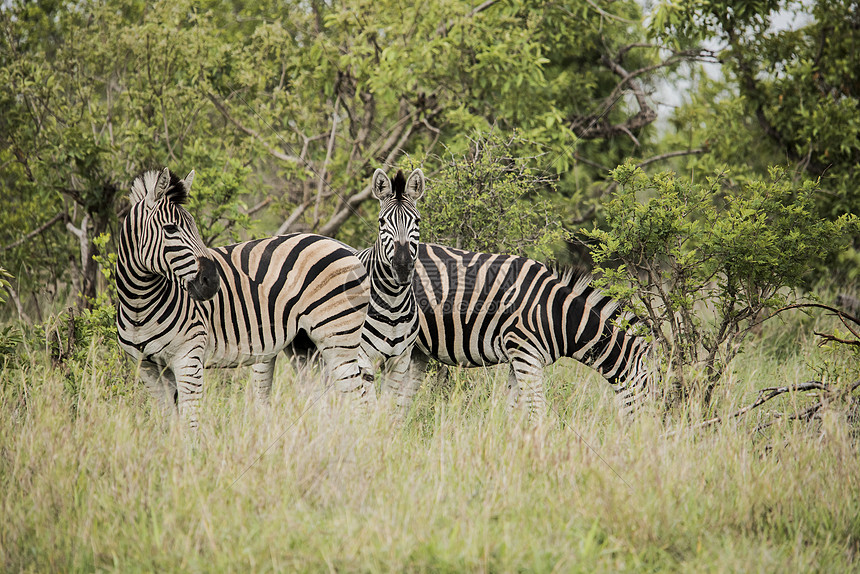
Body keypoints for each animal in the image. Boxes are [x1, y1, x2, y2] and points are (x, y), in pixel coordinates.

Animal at [116, 169, 372, 430]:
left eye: (195, 227)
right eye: (170, 229)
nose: (212, 281)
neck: (139, 304)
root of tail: (342, 246)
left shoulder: (188, 358)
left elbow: (190, 422)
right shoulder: (147, 368)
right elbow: (168, 421)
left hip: (337, 334)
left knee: (357, 395)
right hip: (304, 344)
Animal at [354, 169, 424, 412]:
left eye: (417, 221)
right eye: (382, 221)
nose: (402, 267)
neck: (393, 303)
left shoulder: (400, 362)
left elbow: (387, 406)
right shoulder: (363, 359)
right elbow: (369, 406)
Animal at [404, 244, 660, 424]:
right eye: (652, 392)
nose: (648, 436)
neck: (559, 315)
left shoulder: (518, 358)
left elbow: (511, 408)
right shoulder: (524, 351)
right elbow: (536, 410)